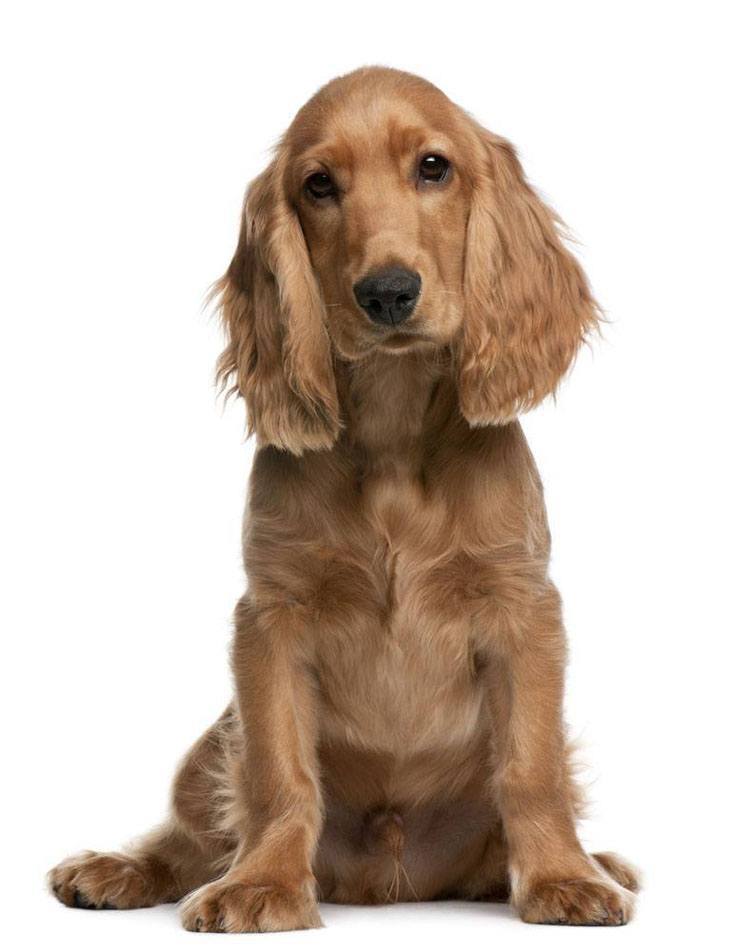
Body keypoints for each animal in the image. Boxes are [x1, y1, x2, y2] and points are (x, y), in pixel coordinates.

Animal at [48, 67, 636, 928]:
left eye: (434, 167)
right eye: (318, 185)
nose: (387, 292)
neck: (392, 438)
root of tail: (396, 884)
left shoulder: (523, 610)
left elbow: (531, 770)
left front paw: (563, 877)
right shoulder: (270, 621)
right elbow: (277, 775)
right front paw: (262, 885)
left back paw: (600, 863)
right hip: (209, 745)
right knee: (192, 839)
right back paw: (118, 869)